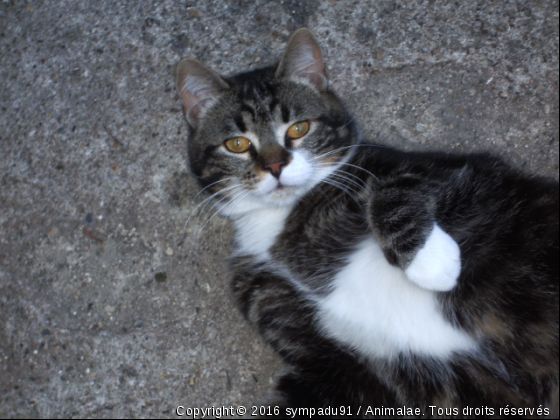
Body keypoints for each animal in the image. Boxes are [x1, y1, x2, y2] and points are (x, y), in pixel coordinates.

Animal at [174, 28, 556, 416]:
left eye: (299, 128)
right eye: (237, 144)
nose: (275, 165)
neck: (276, 220)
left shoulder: (447, 170)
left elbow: (391, 190)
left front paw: (432, 264)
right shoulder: (337, 369)